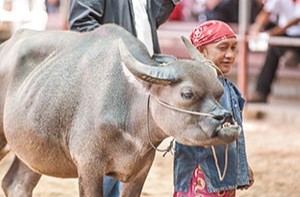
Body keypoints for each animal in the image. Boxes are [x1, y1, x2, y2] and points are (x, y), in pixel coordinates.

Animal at [0, 23, 240, 196]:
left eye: (218, 91)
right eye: (187, 94)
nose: (225, 118)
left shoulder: (139, 171)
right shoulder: (89, 167)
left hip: (32, 149)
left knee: (16, 184)